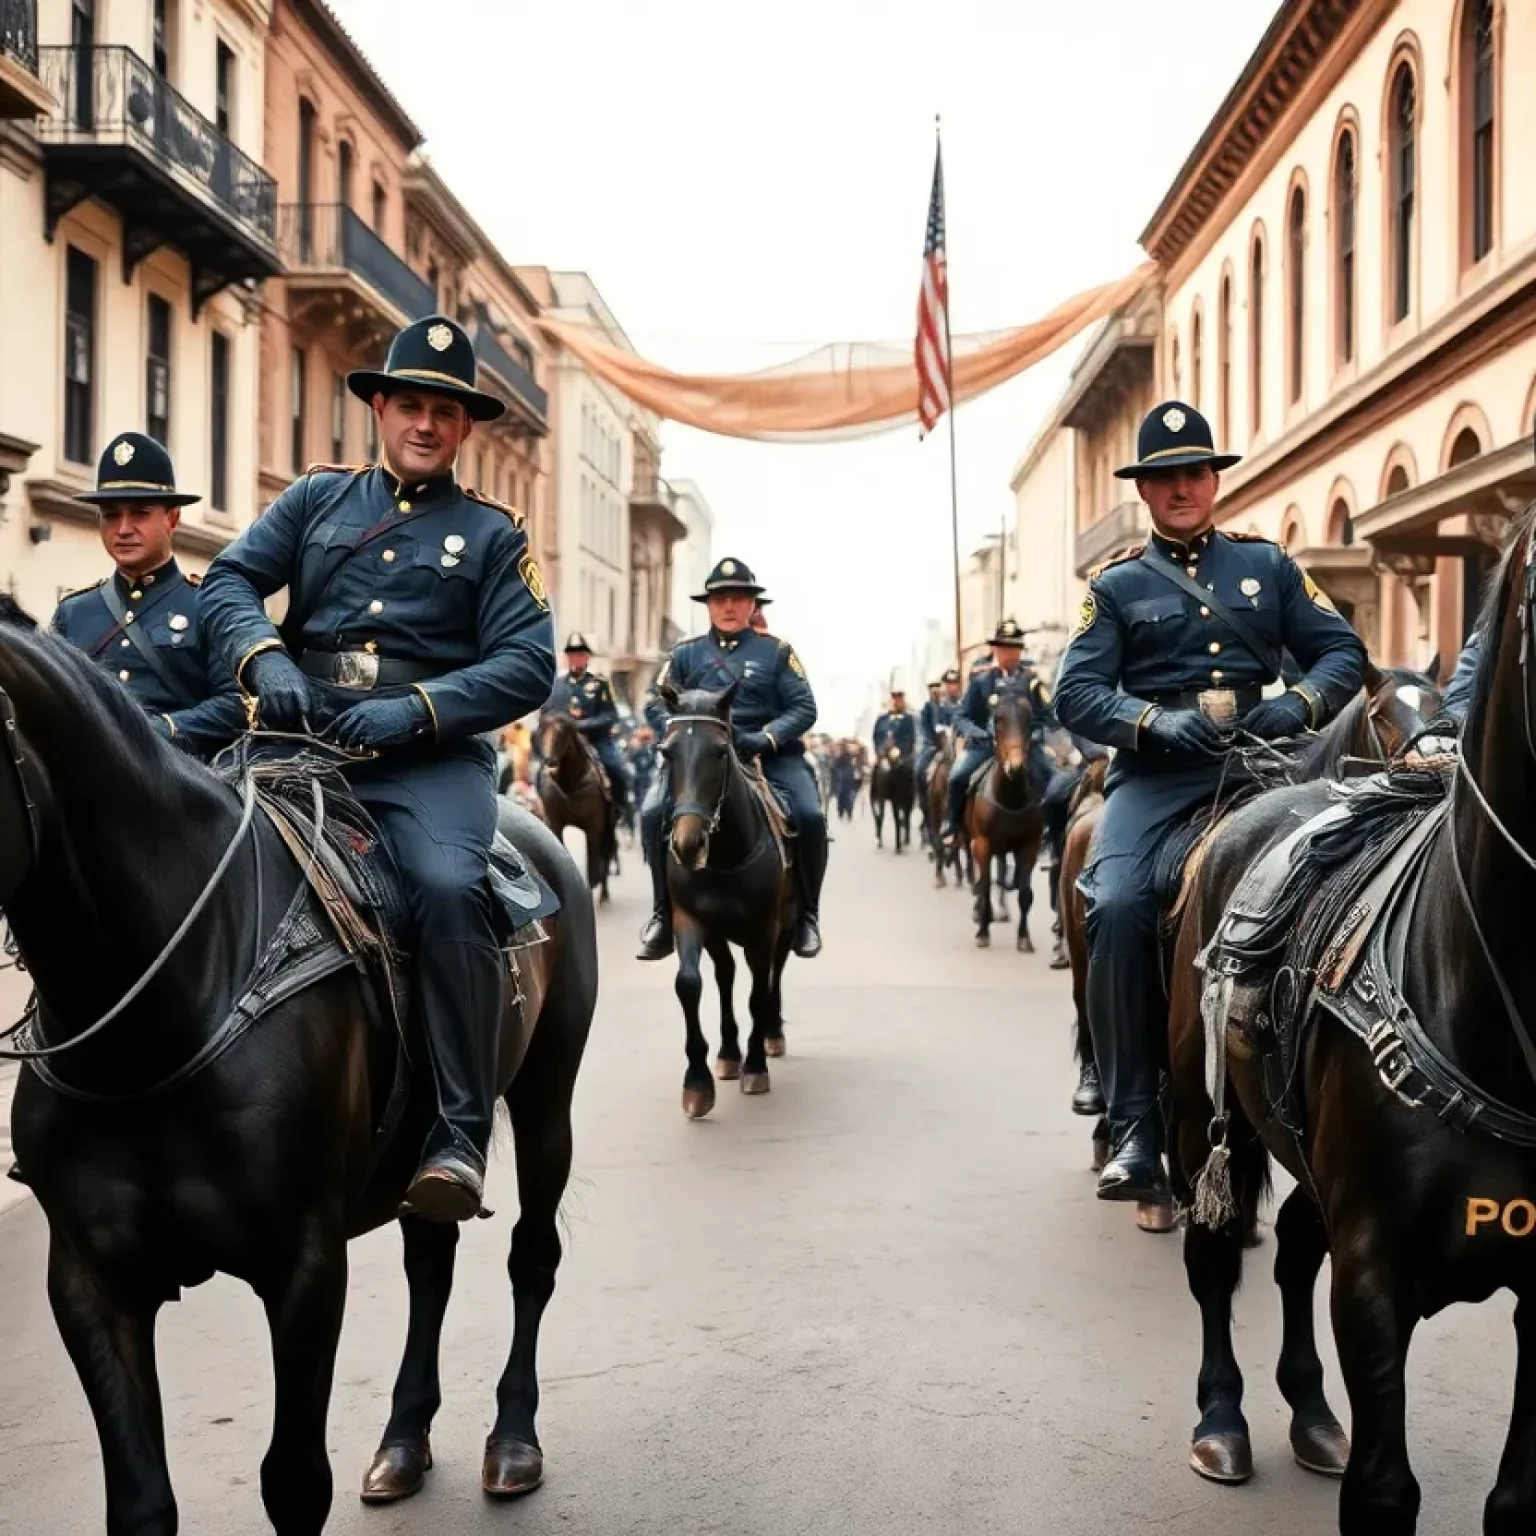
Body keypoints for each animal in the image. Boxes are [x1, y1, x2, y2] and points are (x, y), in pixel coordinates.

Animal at [0, 617, 595, 1529]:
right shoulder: (89, 1280)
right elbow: (141, 1502)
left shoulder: (305, 1266)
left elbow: (293, 1482)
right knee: (431, 1260)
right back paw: (403, 1441)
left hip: (544, 1101)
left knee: (531, 1257)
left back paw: (513, 1441)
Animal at [534, 715, 617, 903]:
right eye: (540, 730)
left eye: (562, 732)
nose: (549, 762)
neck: (570, 784)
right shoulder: (555, 823)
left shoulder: (594, 828)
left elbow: (592, 865)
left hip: (608, 827)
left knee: (606, 854)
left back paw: (604, 894)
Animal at [958, 688, 1044, 946]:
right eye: (997, 720)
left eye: (1029, 719)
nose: (1015, 767)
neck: (1010, 799)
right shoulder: (982, 843)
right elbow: (984, 885)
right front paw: (983, 932)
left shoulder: (1029, 844)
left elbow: (1024, 892)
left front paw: (1024, 938)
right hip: (971, 838)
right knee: (979, 876)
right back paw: (980, 912)